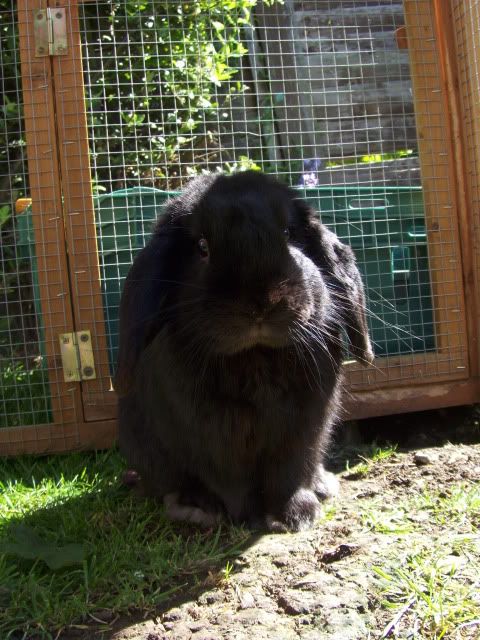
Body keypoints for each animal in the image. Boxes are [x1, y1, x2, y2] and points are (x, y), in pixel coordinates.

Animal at [114, 172, 374, 532]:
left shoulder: (305, 426)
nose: (260, 303)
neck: (256, 357)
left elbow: (291, 472)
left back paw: (322, 486)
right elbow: (230, 480)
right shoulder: (210, 435)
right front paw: (245, 517)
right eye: (202, 247)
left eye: (288, 234)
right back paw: (195, 508)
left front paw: (298, 514)